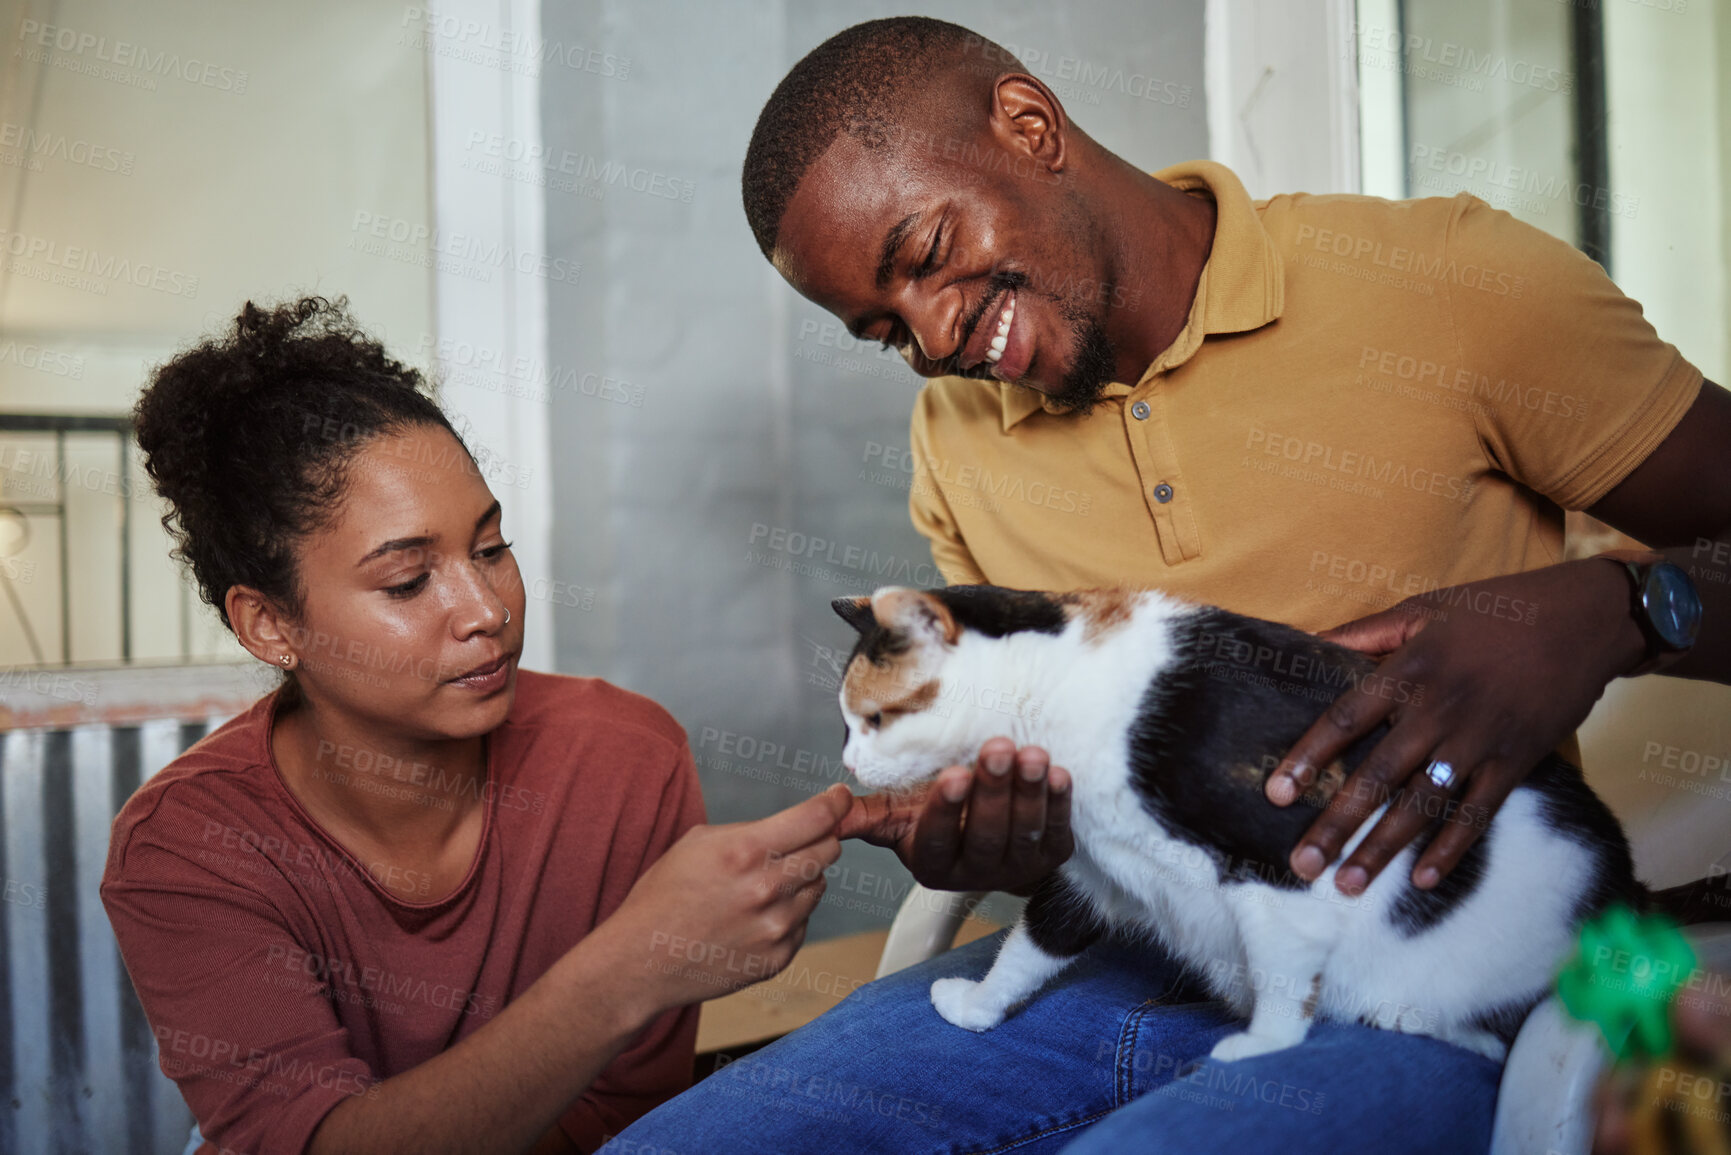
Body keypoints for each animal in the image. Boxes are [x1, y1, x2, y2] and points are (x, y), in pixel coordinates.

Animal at [830, 588, 1640, 1066]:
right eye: (850, 723)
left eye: (875, 719)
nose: (846, 760)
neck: (1061, 686)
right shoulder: (1092, 871)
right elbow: (1034, 945)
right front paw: (977, 1006)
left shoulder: (1284, 868)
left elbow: (1284, 989)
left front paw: (1255, 1048)